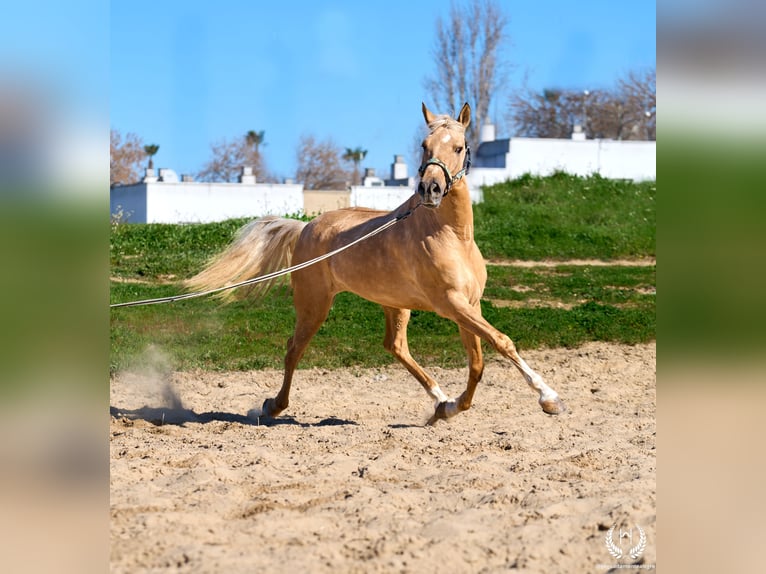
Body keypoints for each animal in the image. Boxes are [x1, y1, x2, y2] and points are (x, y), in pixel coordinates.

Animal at [186, 102, 565, 424]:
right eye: (425, 145)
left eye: (459, 147)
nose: (430, 189)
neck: (452, 236)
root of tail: (305, 227)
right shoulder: (452, 304)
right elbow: (501, 342)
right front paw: (549, 398)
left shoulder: (469, 305)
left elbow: (478, 362)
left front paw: (452, 408)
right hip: (314, 305)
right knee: (294, 349)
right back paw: (273, 406)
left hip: (394, 304)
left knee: (394, 346)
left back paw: (439, 399)